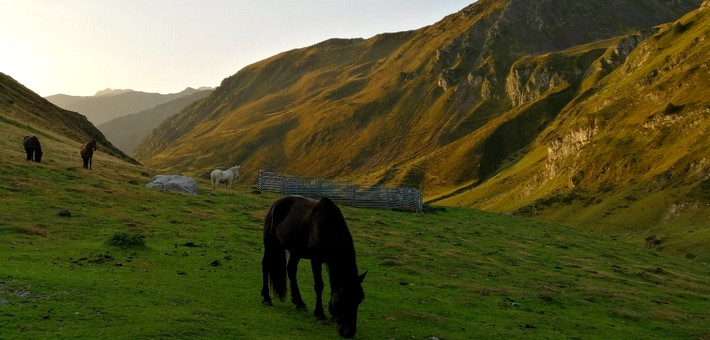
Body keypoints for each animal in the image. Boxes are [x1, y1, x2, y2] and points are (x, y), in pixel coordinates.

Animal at [262, 195, 370, 338]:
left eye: (358, 300)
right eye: (344, 298)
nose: (349, 332)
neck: (328, 227)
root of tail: (276, 203)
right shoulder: (316, 260)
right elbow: (319, 286)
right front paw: (320, 315)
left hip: (296, 251)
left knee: (291, 270)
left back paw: (299, 302)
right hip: (270, 242)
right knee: (265, 266)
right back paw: (266, 298)